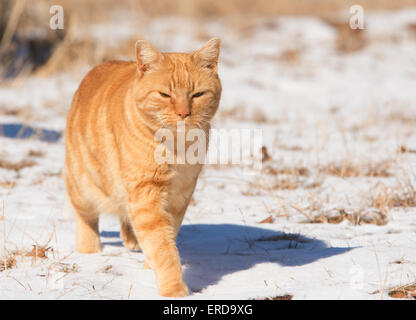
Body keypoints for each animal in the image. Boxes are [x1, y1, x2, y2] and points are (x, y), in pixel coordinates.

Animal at [64, 38, 221, 296]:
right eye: (165, 94)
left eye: (198, 94)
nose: (183, 113)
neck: (177, 148)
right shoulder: (147, 194)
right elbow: (162, 245)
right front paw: (173, 288)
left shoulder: (180, 196)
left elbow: (166, 235)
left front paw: (150, 265)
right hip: (85, 187)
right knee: (85, 217)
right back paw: (90, 250)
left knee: (126, 218)